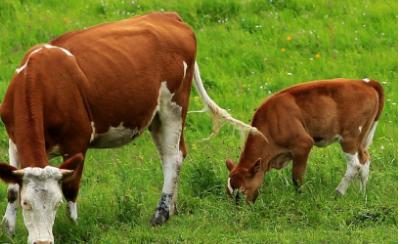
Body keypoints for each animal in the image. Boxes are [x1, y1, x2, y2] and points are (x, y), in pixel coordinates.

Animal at [0, 11, 258, 244]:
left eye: (56, 204)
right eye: (26, 203)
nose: (42, 241)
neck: (42, 81)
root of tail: (170, 16)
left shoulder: (77, 142)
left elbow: (72, 189)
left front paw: (73, 226)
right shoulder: (13, 141)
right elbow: (11, 188)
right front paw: (8, 230)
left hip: (174, 106)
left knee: (173, 158)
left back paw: (160, 215)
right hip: (156, 117)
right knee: (172, 155)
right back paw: (172, 207)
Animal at [227, 78, 386, 204]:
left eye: (242, 191)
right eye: (228, 193)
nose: (239, 211)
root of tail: (364, 82)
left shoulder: (303, 144)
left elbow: (297, 176)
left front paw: (300, 197)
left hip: (350, 137)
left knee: (355, 164)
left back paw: (339, 192)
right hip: (359, 140)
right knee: (364, 160)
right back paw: (361, 193)